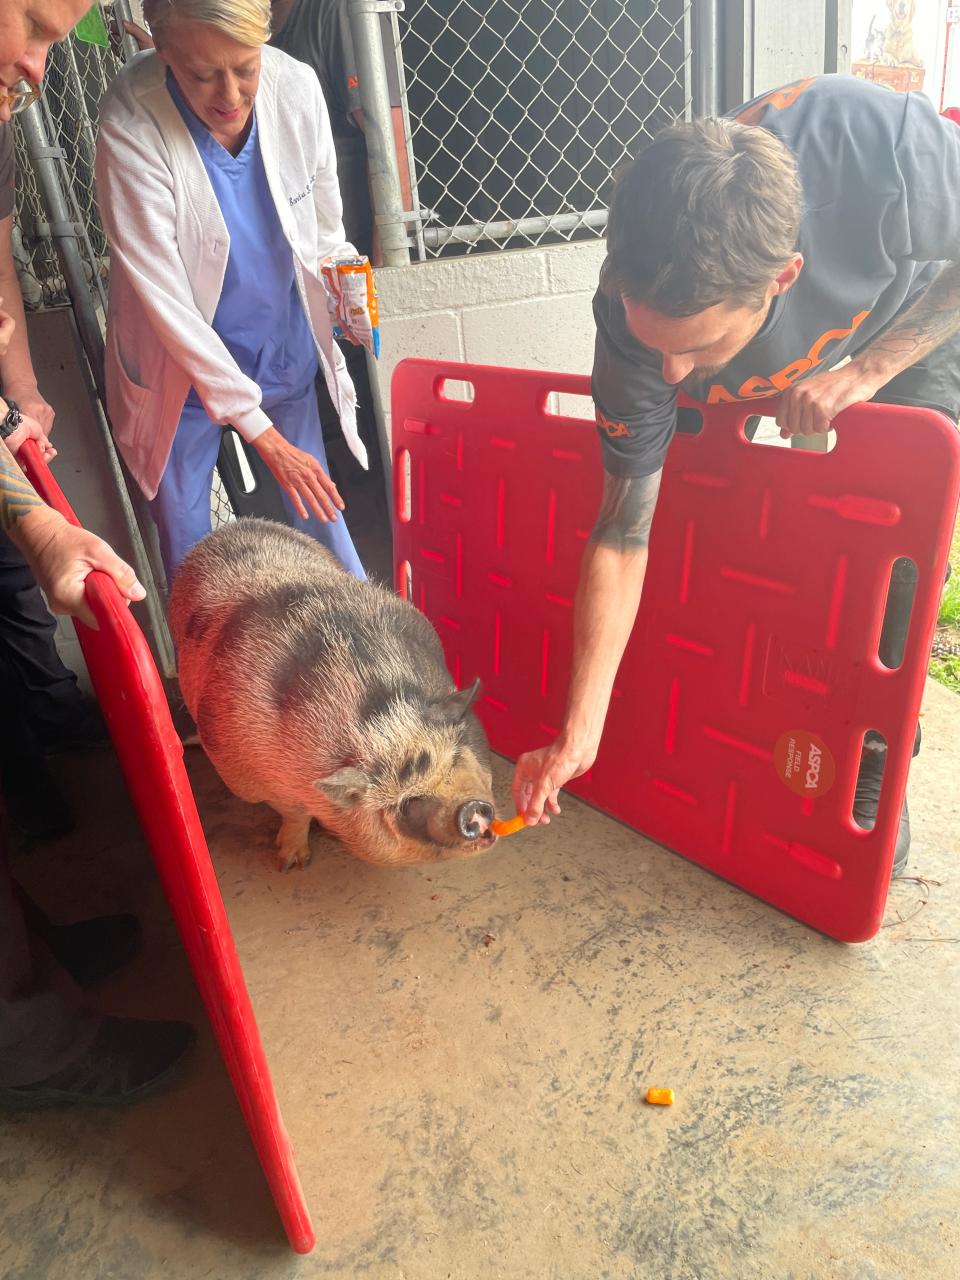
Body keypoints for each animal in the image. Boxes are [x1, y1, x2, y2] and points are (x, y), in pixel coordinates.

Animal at [167, 519, 496, 870]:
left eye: (456, 757)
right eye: (409, 803)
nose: (470, 811)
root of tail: (225, 529)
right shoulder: (247, 776)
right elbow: (293, 812)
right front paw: (291, 864)